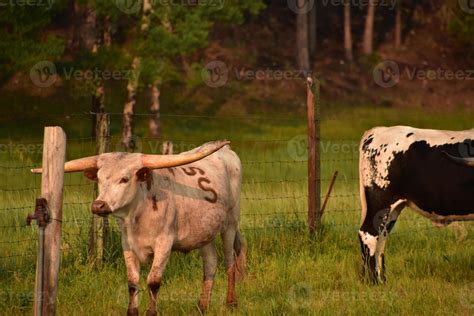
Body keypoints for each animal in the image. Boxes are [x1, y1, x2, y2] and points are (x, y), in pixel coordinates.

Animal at [360, 126, 474, 284]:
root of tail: (377, 131)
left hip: (393, 208)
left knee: (381, 239)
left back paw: (383, 281)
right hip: (380, 201)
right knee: (368, 235)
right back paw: (375, 282)